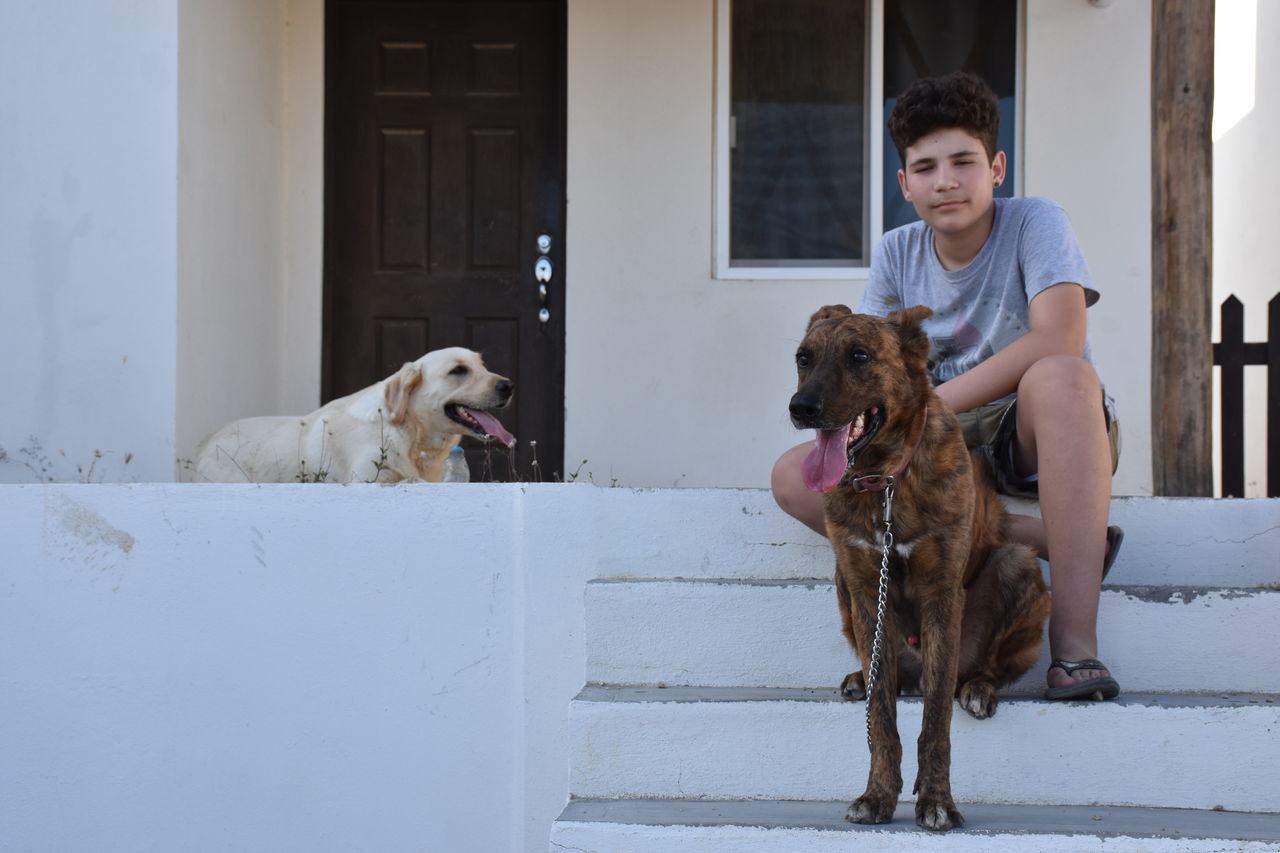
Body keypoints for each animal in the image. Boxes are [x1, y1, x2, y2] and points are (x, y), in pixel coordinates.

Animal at [192, 343, 512, 479]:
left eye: (483, 365)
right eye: (458, 371)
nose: (508, 385)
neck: (410, 436)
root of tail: (207, 440)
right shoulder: (370, 481)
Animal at [788, 302, 1049, 824]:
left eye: (859, 355)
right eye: (803, 358)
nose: (800, 408)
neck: (885, 481)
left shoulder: (941, 595)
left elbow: (935, 720)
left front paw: (937, 800)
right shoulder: (866, 588)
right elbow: (881, 719)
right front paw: (878, 795)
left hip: (1017, 565)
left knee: (985, 668)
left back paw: (979, 688)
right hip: (844, 587)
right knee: (883, 676)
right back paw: (860, 678)